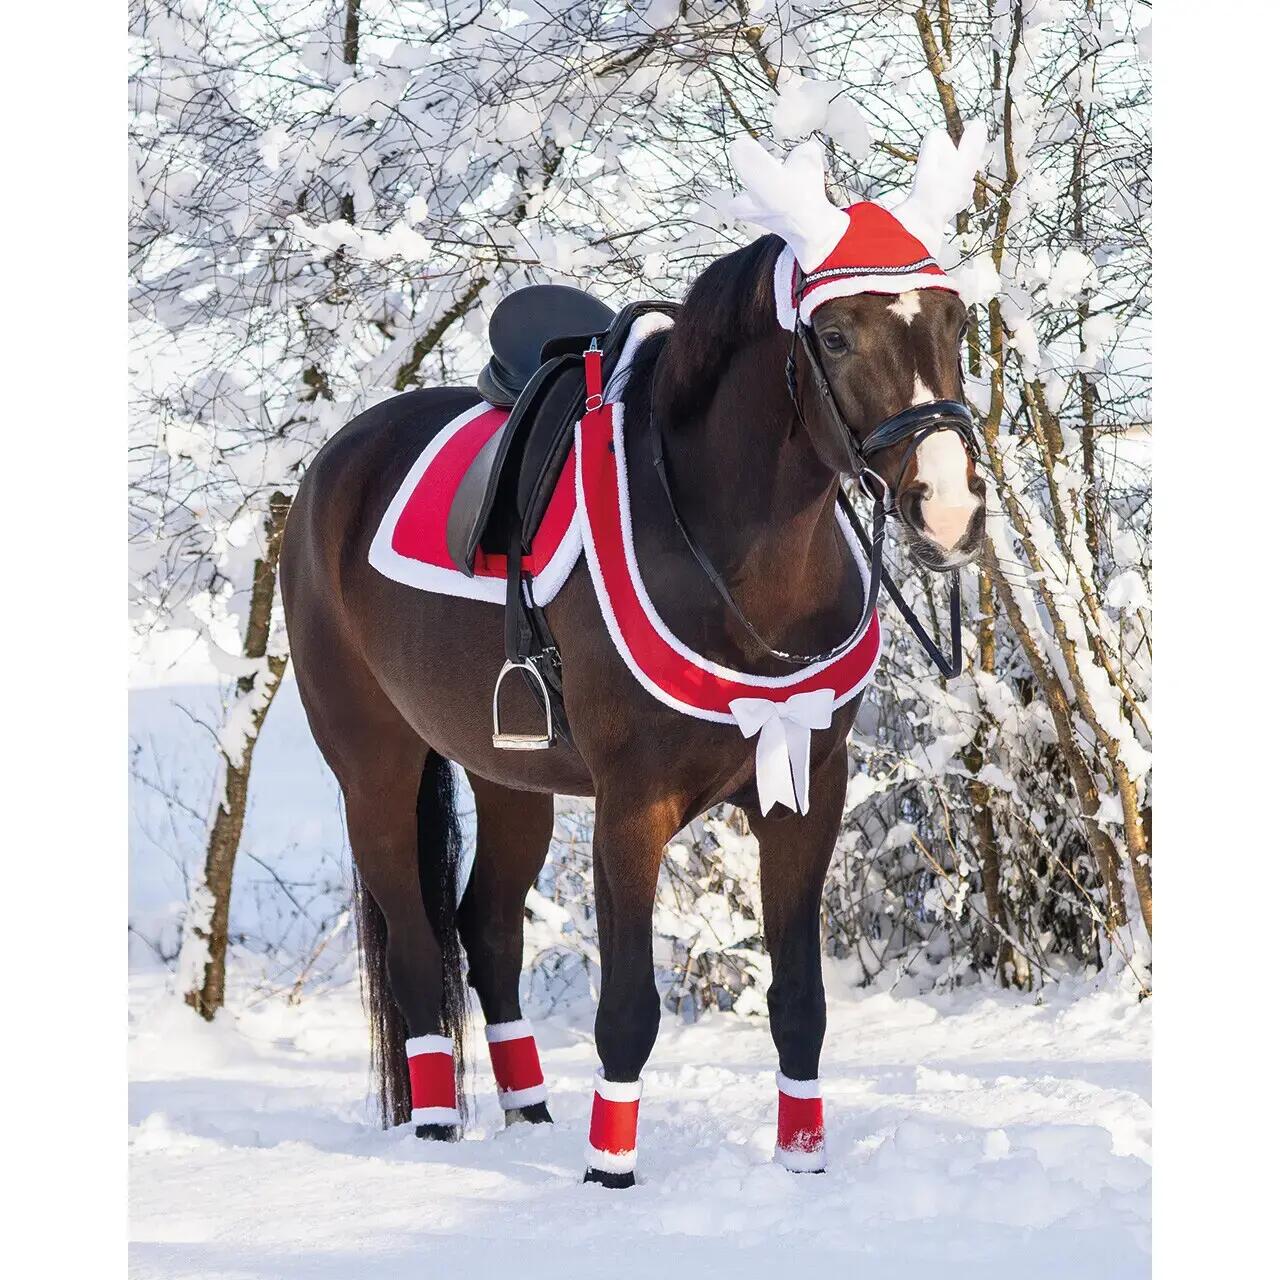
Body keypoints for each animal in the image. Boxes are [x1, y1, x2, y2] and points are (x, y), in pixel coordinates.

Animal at [281, 202, 986, 1186]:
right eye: (836, 335)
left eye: (957, 324)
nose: (952, 512)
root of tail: (328, 471)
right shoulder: (633, 806)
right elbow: (628, 1011)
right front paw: (609, 1173)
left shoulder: (808, 791)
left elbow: (800, 1001)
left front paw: (802, 1162)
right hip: (374, 769)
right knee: (420, 950)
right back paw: (436, 1127)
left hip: (510, 780)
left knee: (486, 932)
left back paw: (531, 1114)